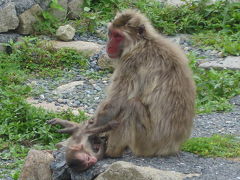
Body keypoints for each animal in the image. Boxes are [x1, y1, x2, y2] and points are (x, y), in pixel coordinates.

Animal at [89, 9, 195, 157]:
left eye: (118, 36)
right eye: (111, 33)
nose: (108, 46)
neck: (140, 43)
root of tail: (172, 146)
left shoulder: (130, 63)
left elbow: (115, 104)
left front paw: (91, 128)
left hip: (147, 142)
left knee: (131, 105)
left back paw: (112, 152)